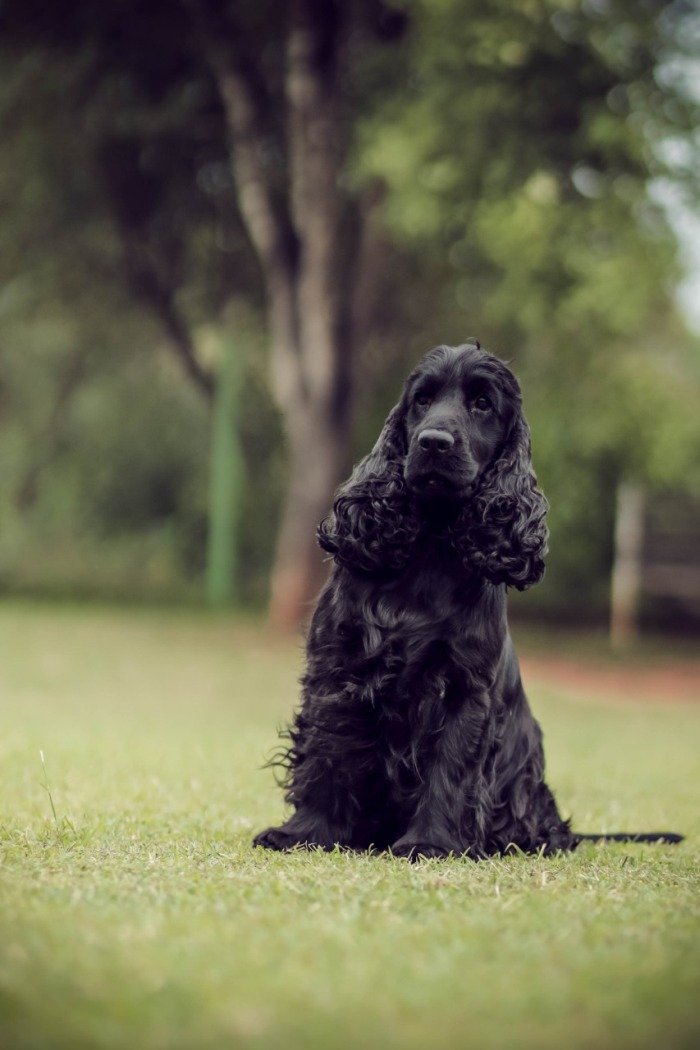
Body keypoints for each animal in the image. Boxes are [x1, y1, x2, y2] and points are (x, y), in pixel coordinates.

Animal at [255, 344, 680, 860]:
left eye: (482, 404)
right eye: (422, 399)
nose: (434, 442)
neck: (430, 549)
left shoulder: (463, 686)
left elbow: (451, 767)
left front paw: (430, 843)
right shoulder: (337, 667)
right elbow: (325, 750)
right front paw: (302, 832)